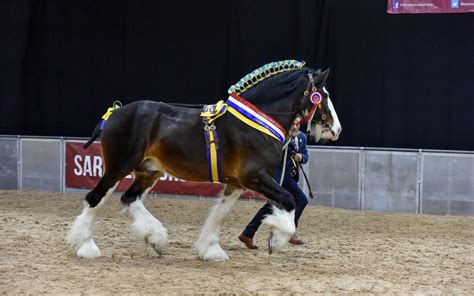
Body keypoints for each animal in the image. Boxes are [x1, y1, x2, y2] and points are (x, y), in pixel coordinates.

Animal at [66, 60, 340, 262]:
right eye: (322, 94)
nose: (336, 129)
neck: (258, 122)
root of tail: (114, 113)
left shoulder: (236, 184)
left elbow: (220, 214)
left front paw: (211, 250)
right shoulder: (255, 177)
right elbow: (289, 200)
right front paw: (276, 240)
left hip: (149, 171)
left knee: (129, 198)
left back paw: (156, 238)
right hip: (118, 167)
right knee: (95, 198)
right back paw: (86, 247)